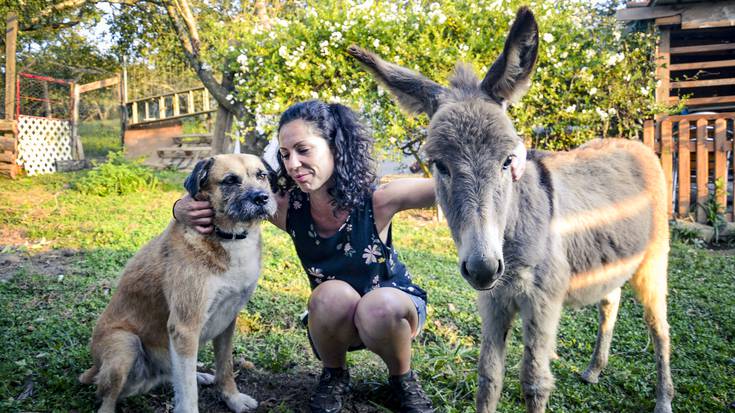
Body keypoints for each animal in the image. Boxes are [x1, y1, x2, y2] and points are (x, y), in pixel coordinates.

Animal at [79, 153, 278, 410]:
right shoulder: (185, 326)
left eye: (261, 175)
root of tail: (93, 369)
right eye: (230, 180)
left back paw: (199, 375)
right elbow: (188, 393)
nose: (262, 198)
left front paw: (232, 399)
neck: (229, 238)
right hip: (125, 344)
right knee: (107, 399)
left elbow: (225, 367)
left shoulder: (228, 320)